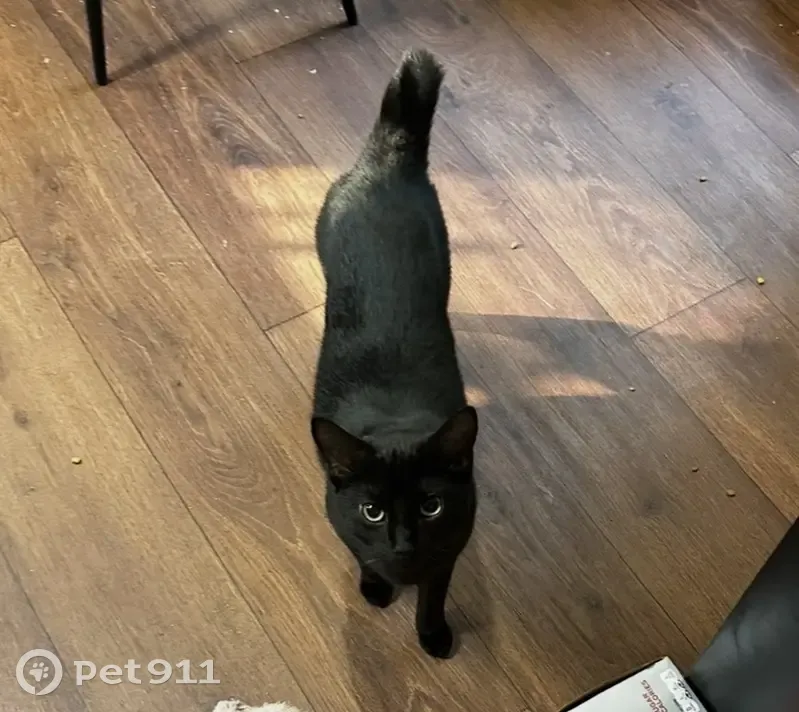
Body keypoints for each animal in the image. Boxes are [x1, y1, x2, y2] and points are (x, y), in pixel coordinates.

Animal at [310, 48, 478, 659]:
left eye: (431, 506)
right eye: (372, 509)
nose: (403, 542)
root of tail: (389, 160)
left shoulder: (451, 545)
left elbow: (433, 591)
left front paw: (433, 635)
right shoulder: (340, 519)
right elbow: (363, 555)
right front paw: (377, 587)